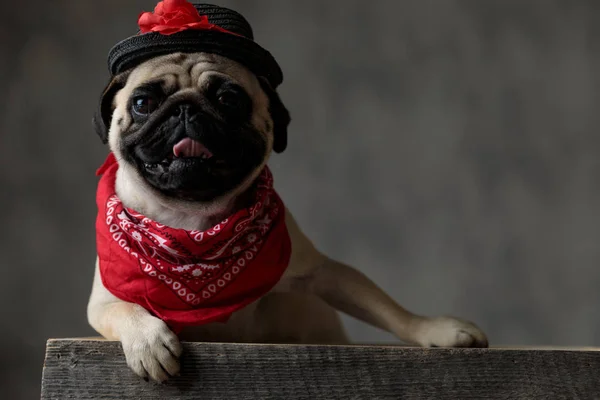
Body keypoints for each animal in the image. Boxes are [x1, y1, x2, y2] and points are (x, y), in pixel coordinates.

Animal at [86, 50, 490, 382]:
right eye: (143, 102)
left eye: (230, 99)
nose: (186, 108)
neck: (195, 223)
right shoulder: (103, 301)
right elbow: (124, 308)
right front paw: (148, 341)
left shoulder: (324, 272)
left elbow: (388, 309)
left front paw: (434, 329)